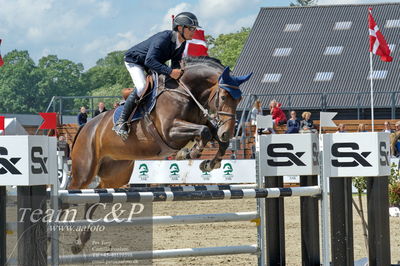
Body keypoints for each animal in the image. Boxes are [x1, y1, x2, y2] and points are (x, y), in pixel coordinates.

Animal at [67, 56, 252, 254]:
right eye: (223, 97)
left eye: (240, 99)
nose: (227, 132)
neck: (184, 92)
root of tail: (85, 127)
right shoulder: (169, 131)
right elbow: (204, 132)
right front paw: (188, 153)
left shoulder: (202, 124)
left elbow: (213, 135)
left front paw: (209, 163)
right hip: (85, 171)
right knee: (72, 192)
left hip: (116, 173)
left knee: (95, 197)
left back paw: (80, 241)